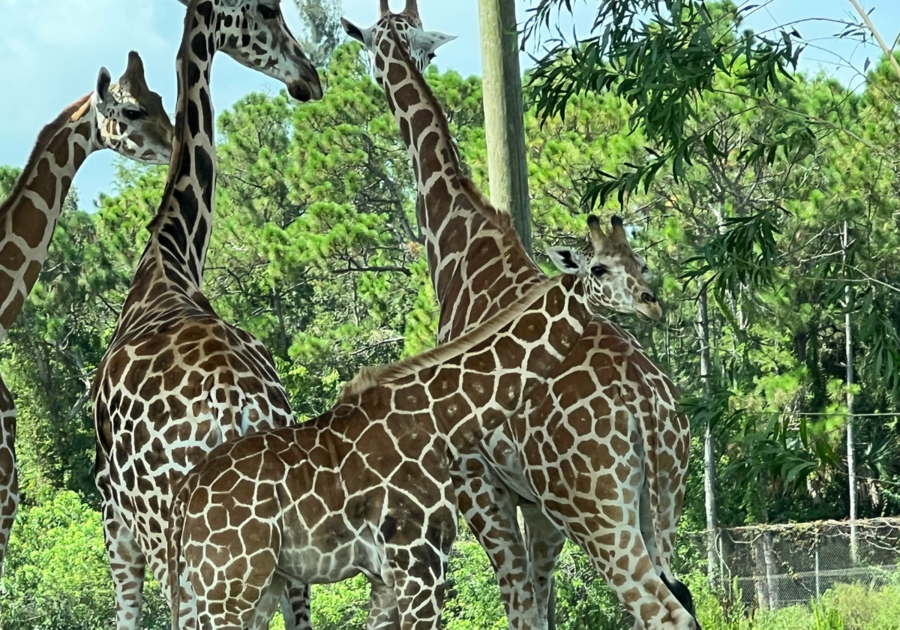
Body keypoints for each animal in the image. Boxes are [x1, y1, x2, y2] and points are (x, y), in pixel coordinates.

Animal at [89, 2, 324, 628]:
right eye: (268, 9)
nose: (309, 77)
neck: (170, 260)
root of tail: (237, 412)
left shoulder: (115, 524)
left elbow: (125, 615)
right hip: (275, 561)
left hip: (180, 549)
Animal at [163, 217, 684, 630]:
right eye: (598, 268)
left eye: (638, 260)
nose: (651, 301)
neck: (440, 419)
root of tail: (184, 497)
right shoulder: (417, 563)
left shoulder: (389, 576)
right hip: (230, 584)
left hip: (241, 585)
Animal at [342, 2, 700, 628]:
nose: (382, 76)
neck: (462, 248)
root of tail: (649, 413)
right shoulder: (534, 506)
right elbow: (542, 605)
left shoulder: (475, 482)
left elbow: (520, 608)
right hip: (663, 503)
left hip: (594, 510)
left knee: (660, 610)